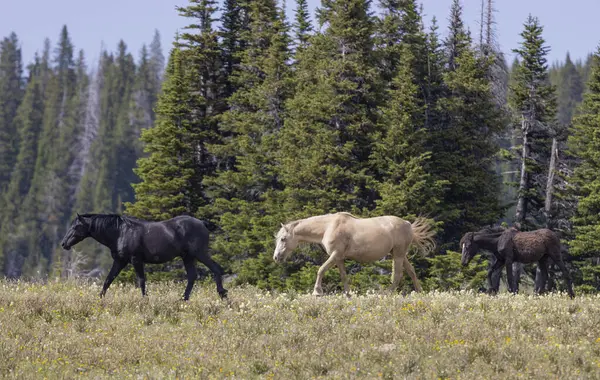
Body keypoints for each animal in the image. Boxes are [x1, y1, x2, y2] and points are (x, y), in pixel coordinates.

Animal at [60, 214, 227, 300]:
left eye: (76, 226)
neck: (120, 232)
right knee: (193, 276)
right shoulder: (120, 261)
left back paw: (222, 294)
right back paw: (183, 299)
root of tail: (203, 223)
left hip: (199, 253)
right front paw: (99, 298)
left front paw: (145, 300)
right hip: (188, 257)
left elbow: (141, 281)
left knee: (216, 268)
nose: (64, 244)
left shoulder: (136, 260)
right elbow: (108, 280)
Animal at [274, 212, 436, 296]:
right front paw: (347, 294)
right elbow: (343, 276)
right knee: (411, 271)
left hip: (398, 254)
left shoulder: (335, 254)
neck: (328, 226)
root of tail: (408, 225)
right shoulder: (339, 258)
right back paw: (420, 292)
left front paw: (317, 292)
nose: (276, 257)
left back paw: (385, 294)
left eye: (283, 239)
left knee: (397, 275)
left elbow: (321, 269)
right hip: (401, 255)